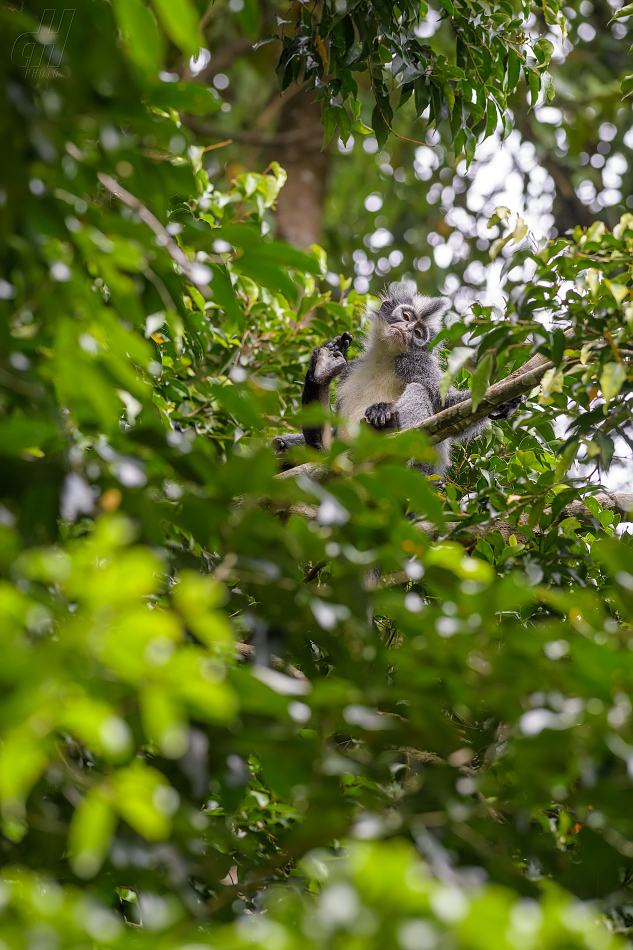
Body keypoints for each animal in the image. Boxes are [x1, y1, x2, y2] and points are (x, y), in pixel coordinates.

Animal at [274, 282, 520, 476]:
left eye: (418, 334)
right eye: (406, 316)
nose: (408, 328)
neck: (385, 358)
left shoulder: (415, 363)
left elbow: (446, 407)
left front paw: (506, 403)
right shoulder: (351, 369)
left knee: (418, 390)